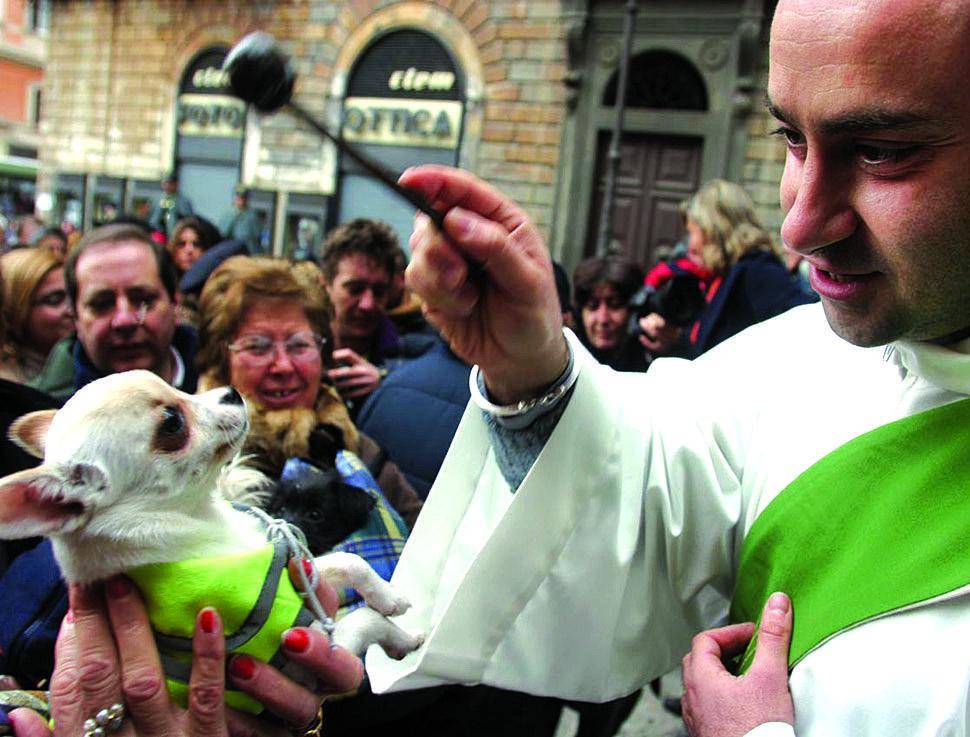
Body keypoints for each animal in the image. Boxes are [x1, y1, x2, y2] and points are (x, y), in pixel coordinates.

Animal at [0, 370, 422, 664]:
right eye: (172, 422)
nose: (231, 390)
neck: (204, 517)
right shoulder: (312, 644)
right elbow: (366, 620)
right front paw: (406, 640)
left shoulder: (292, 567)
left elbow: (347, 561)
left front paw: (390, 598)